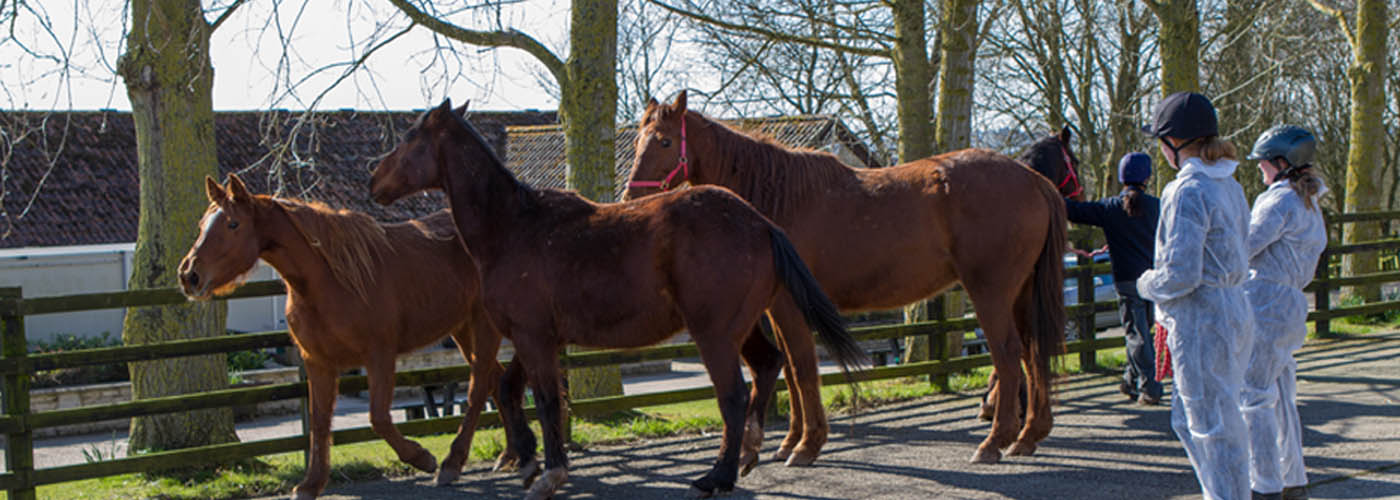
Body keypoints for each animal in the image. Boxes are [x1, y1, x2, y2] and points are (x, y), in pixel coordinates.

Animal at [176, 174, 526, 495]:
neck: (331, 280)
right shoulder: (317, 362)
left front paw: (421, 458)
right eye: (202, 224)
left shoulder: (379, 356)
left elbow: (378, 418)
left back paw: (453, 463)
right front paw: (311, 483)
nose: (189, 275)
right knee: (496, 380)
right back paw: (511, 456)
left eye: (233, 224)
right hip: (463, 329)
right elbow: (319, 421)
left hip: (483, 325)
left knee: (478, 388)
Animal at [369, 99, 862, 495]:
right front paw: (526, 461)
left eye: (411, 137)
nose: (374, 177)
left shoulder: (532, 336)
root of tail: (760, 223)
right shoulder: (536, 338)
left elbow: (546, 401)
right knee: (767, 365)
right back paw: (748, 453)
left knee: (734, 395)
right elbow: (510, 391)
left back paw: (717, 476)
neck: (512, 226)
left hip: (715, 333)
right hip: (740, 328)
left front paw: (550, 473)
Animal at [630, 90, 1064, 462]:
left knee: (1007, 354)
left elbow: (803, 368)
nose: (632, 198)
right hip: (1020, 293)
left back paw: (994, 441)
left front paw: (807, 445)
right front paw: (790, 442)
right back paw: (1028, 436)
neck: (777, 196)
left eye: (664, 141)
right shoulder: (778, 309)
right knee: (1031, 352)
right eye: (638, 141)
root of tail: (1031, 179)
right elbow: (790, 370)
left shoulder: (790, 306)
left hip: (991, 292)